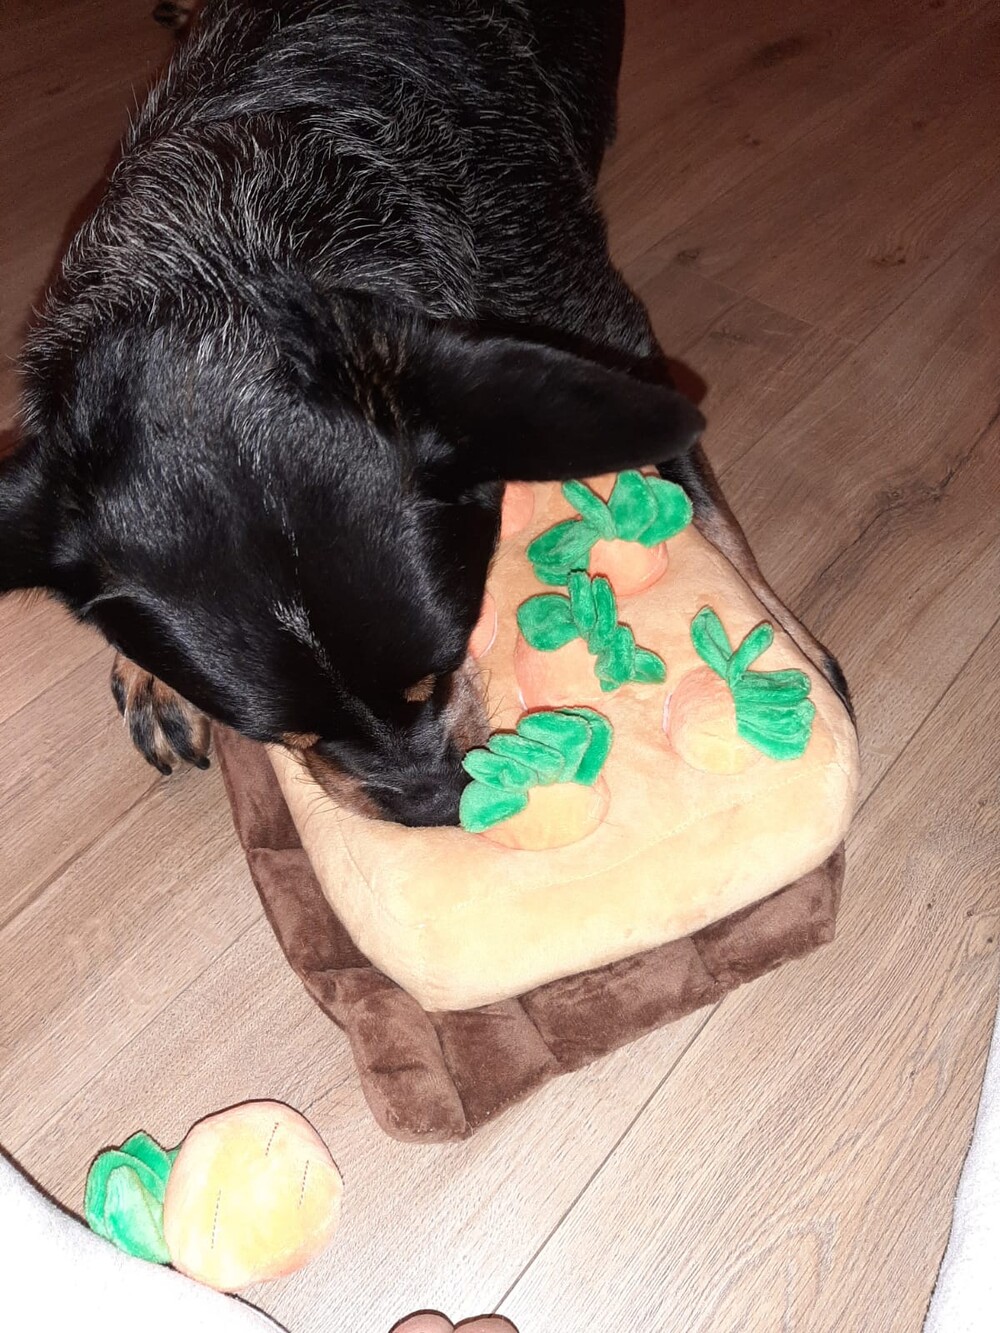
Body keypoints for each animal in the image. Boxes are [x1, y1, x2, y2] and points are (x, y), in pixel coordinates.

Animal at [0, 0, 848, 828]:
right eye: (282, 734)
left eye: (439, 671)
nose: (439, 808)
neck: (230, 248)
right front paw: (147, 672)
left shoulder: (608, 340)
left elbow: (705, 507)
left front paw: (786, 642)